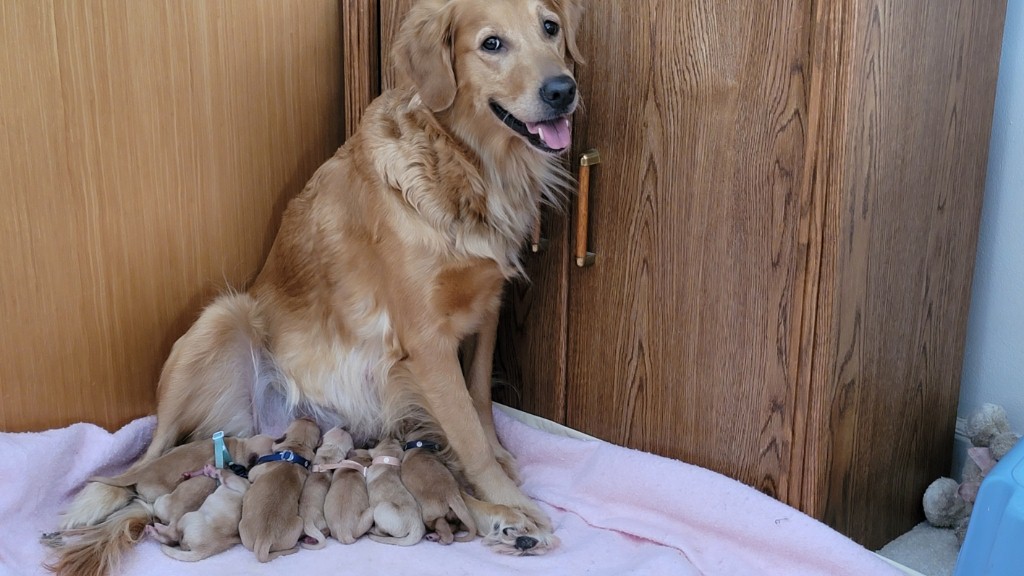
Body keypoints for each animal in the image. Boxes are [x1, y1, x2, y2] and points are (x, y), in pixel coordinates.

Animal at [54, 0, 585, 569]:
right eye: (491, 44)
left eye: (550, 28)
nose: (563, 90)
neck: (467, 167)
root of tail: (263, 426)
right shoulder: (425, 341)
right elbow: (468, 433)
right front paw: (514, 499)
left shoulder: (487, 309)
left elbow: (481, 400)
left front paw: (505, 472)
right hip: (220, 317)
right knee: (139, 461)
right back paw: (93, 501)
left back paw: (502, 524)